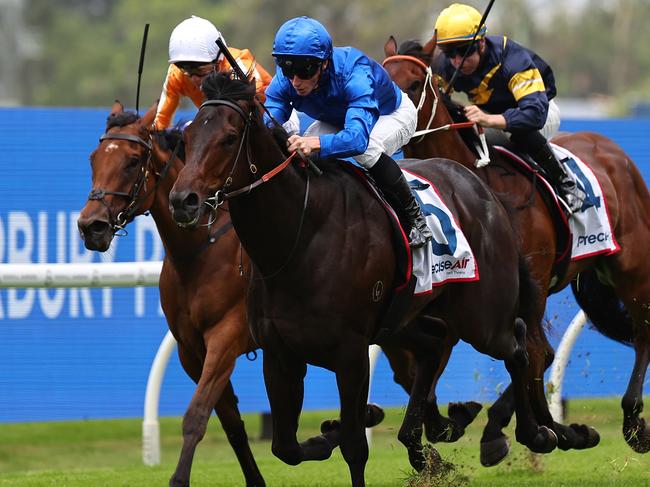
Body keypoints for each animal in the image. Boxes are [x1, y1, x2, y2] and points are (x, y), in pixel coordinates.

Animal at [77, 101, 264, 486]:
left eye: (133, 160)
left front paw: (178, 478)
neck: (200, 249)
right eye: (93, 158)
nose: (91, 226)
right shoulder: (191, 350)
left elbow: (196, 414)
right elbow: (230, 423)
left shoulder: (227, 335)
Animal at [170, 73, 560, 487]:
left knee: (518, 345)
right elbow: (286, 447)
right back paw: (428, 442)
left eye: (229, 138)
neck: (301, 236)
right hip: (403, 319)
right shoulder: (279, 355)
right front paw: (328, 433)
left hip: (480, 318)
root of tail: (482, 189)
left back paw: (535, 433)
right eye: (187, 137)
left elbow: (355, 446)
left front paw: (349, 428)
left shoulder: (350, 354)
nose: (183, 200)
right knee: (435, 344)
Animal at [382, 36, 648, 464]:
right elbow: (428, 362)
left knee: (641, 332)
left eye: (413, 84)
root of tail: (611, 149)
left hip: (632, 265)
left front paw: (536, 430)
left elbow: (532, 353)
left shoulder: (528, 286)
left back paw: (632, 420)